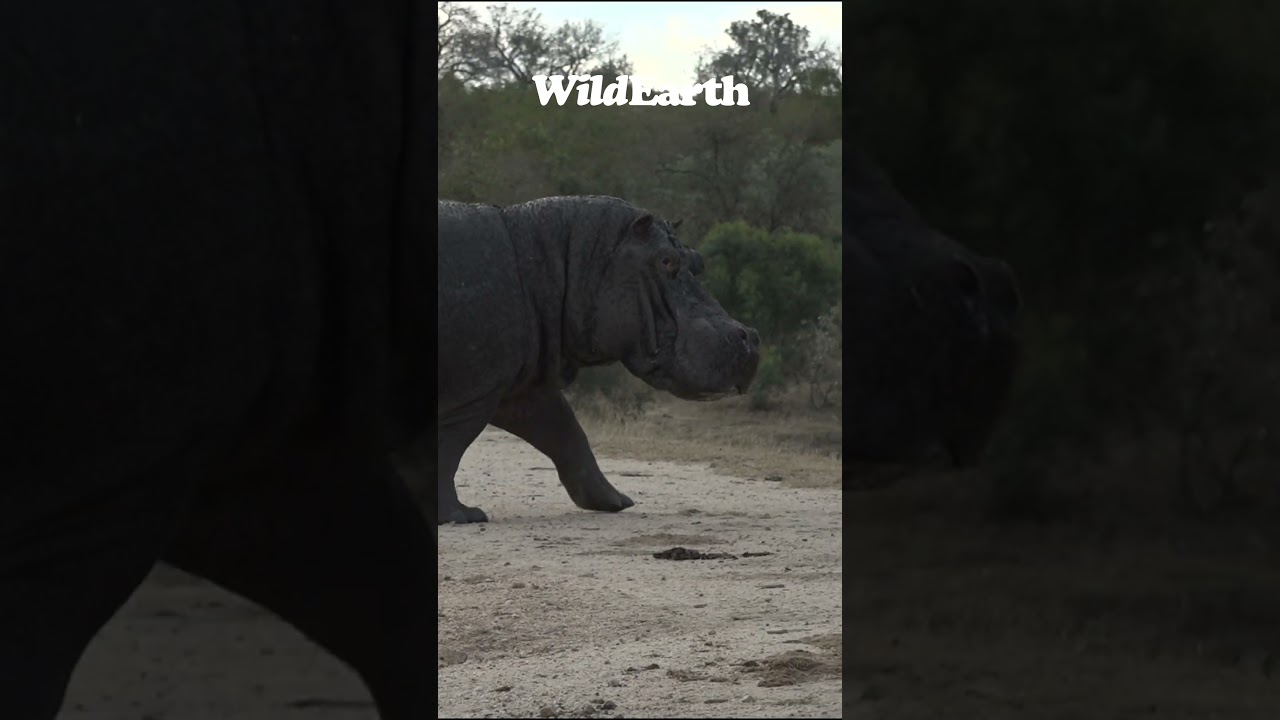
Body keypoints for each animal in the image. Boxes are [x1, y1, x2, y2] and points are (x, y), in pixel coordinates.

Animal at [437, 196, 761, 524]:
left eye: (698, 260)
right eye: (666, 260)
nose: (749, 336)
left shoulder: (521, 387)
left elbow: (565, 431)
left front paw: (617, 501)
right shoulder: (474, 394)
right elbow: (450, 446)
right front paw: (461, 515)